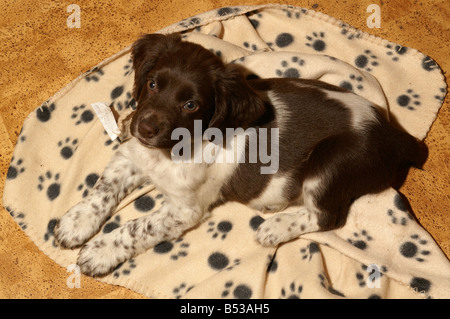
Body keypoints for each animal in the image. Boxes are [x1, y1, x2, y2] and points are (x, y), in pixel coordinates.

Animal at [53, 33, 426, 278]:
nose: (144, 128)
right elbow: (103, 190)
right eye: (153, 84)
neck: (167, 153)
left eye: (191, 104)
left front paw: (100, 252)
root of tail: (393, 133)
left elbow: (137, 227)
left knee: (327, 216)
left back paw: (276, 227)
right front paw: (75, 223)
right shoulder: (132, 156)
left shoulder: (184, 209)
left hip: (329, 164)